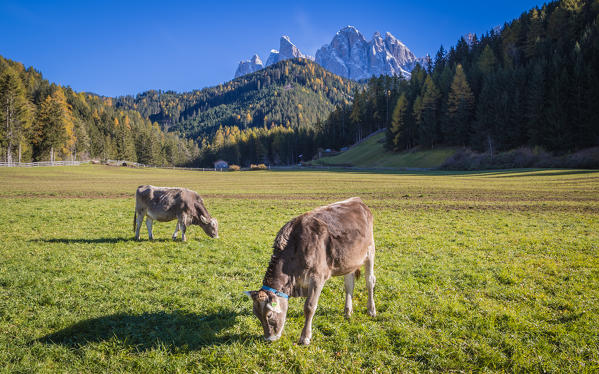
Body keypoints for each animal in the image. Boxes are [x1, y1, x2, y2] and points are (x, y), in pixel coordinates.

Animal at [244, 197, 376, 346]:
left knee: (370, 281)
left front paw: (305, 337)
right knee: (349, 285)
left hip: (370, 251)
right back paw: (348, 312)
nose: (268, 339)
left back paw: (371, 310)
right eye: (256, 315)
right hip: (349, 260)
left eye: (269, 315)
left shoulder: (318, 277)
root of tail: (357, 200)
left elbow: (309, 307)